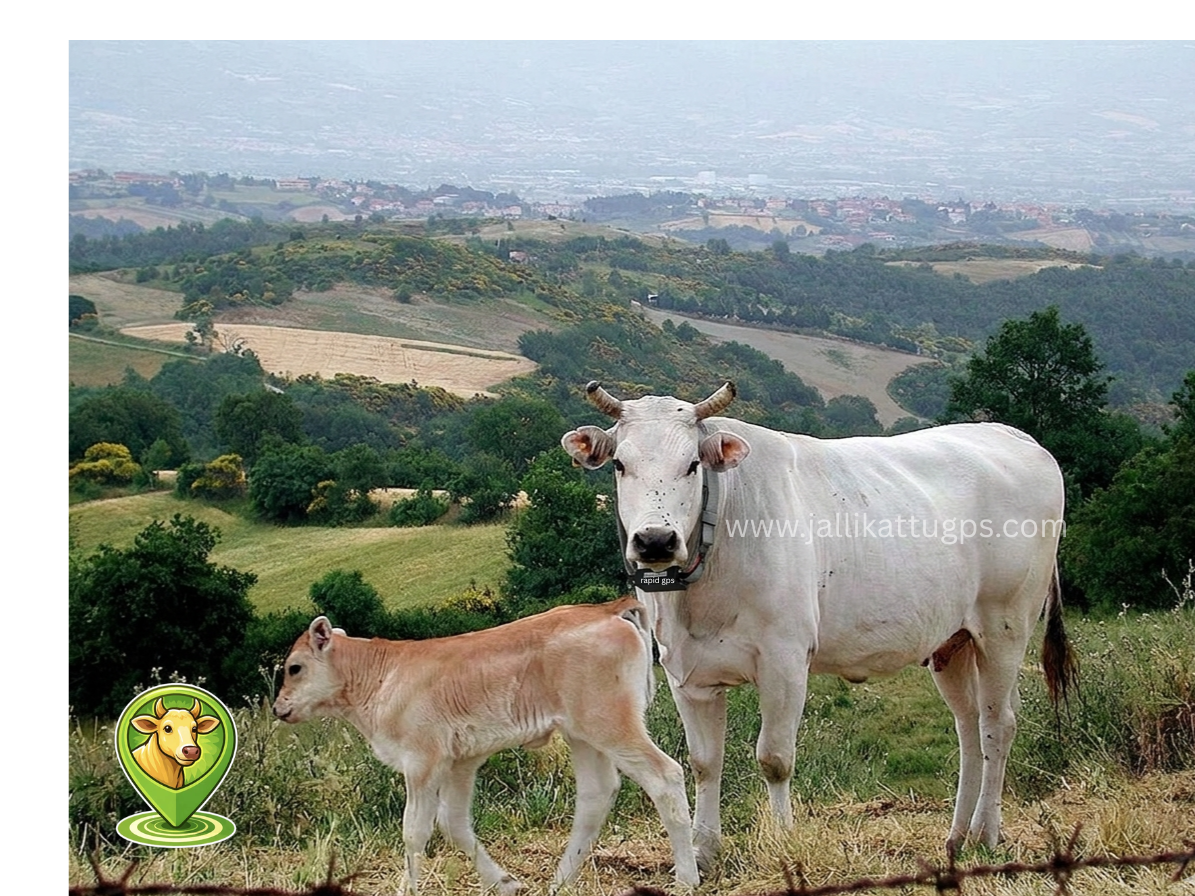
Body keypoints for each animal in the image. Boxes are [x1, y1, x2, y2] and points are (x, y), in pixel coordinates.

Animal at [272, 597, 700, 895]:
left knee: (665, 776)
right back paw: (560, 880)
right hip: (582, 734)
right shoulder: (461, 762)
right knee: (596, 795)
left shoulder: (422, 762)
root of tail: (607, 609)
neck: (382, 675)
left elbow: (415, 831)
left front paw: (407, 887)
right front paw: (506, 883)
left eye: (295, 667)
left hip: (611, 724)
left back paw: (686, 878)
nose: (277, 708)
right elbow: (454, 823)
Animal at [562, 381, 1077, 868]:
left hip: (1005, 626)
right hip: (954, 640)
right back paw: (957, 837)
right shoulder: (685, 670)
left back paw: (986, 833)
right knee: (969, 728)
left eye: (692, 465)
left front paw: (784, 842)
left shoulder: (785, 659)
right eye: (620, 465)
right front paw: (705, 853)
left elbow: (775, 759)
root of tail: (1012, 435)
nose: (655, 541)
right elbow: (705, 762)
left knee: (998, 725)